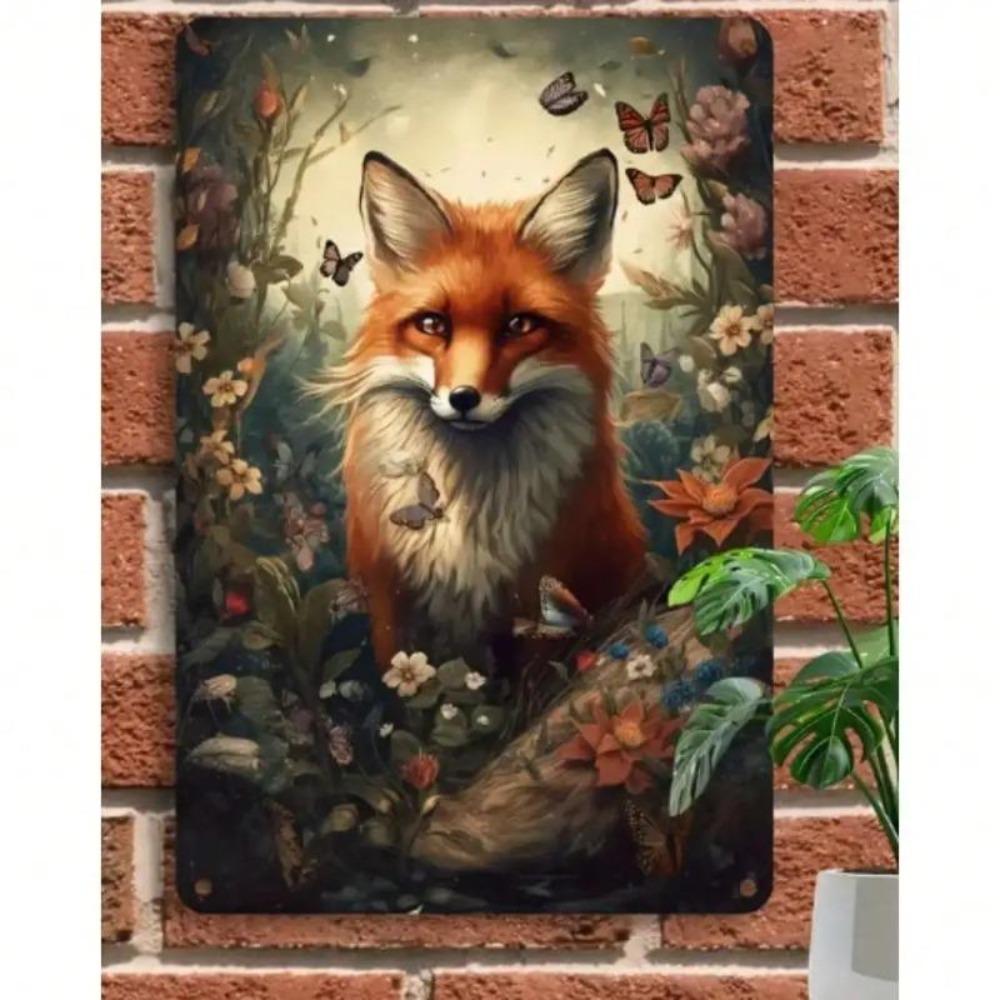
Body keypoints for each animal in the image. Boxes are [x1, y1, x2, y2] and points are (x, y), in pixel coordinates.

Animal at [315, 148, 647, 670]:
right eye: (432, 324)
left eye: (520, 325)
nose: (464, 398)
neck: (470, 505)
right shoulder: (390, 594)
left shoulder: (541, 587)